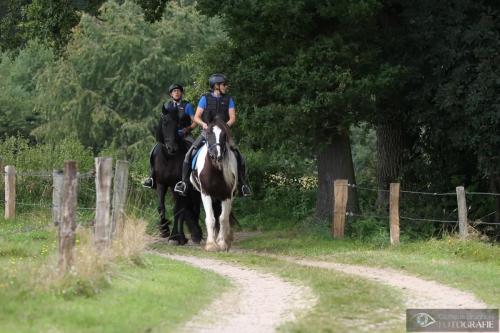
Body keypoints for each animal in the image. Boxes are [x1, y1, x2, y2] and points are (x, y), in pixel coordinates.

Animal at [155, 105, 204, 244]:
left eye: (177, 124)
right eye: (165, 123)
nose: (172, 148)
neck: (168, 158)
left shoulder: (177, 185)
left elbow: (177, 211)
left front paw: (175, 237)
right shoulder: (161, 184)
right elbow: (161, 207)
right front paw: (164, 229)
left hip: (191, 190)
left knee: (193, 209)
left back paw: (191, 236)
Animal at [191, 119, 238, 252]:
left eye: (224, 135)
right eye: (208, 135)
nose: (216, 156)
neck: (215, 171)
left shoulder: (227, 195)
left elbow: (223, 218)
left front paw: (222, 243)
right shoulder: (206, 193)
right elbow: (210, 218)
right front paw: (211, 244)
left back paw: (226, 237)